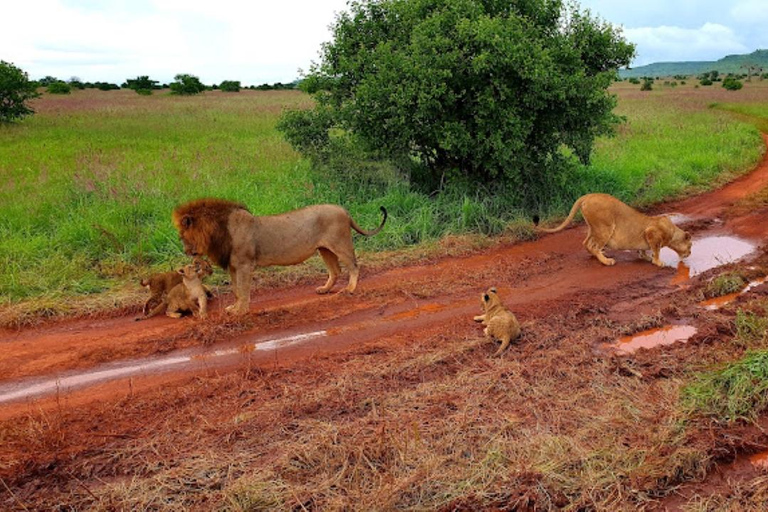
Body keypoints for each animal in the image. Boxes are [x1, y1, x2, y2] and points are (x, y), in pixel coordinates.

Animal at [175, 199, 390, 312]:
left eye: (182, 236)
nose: (185, 251)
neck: (219, 232)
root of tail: (343, 210)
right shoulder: (233, 266)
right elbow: (236, 290)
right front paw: (234, 308)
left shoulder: (245, 265)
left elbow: (242, 289)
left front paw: (240, 311)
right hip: (324, 249)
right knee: (335, 270)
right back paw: (325, 289)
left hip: (340, 244)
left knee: (353, 265)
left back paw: (350, 289)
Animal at [536, 193, 692, 268]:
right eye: (690, 245)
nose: (690, 253)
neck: (672, 232)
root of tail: (588, 196)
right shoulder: (651, 232)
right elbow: (657, 250)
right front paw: (658, 262)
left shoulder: (647, 235)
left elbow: (644, 249)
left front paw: (646, 257)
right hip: (605, 227)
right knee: (594, 245)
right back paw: (606, 261)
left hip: (593, 228)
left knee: (586, 243)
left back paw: (598, 255)